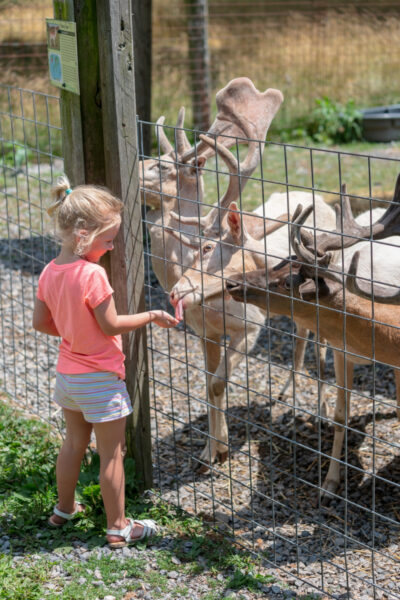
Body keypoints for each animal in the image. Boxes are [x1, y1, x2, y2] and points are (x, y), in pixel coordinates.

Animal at [225, 177, 400, 496]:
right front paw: (329, 483)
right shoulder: (343, 352)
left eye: (286, 283)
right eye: (284, 260)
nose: (231, 282)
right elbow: (341, 417)